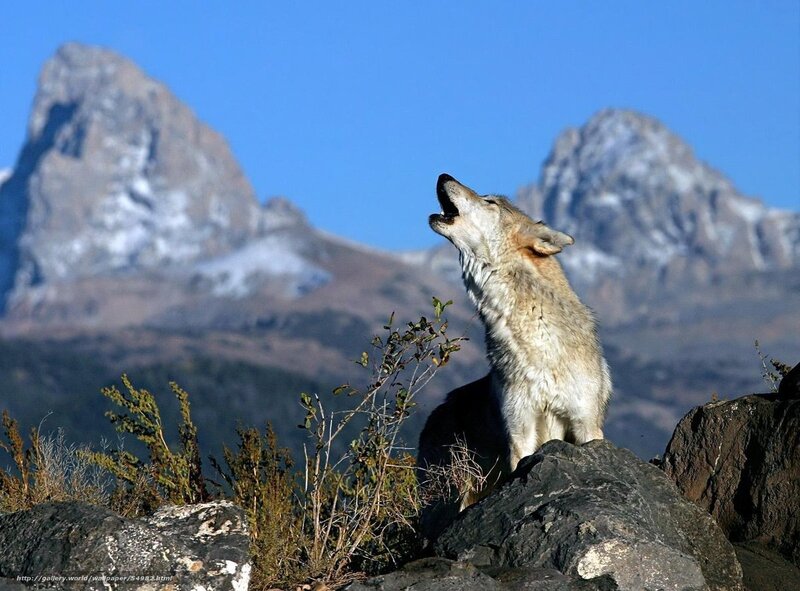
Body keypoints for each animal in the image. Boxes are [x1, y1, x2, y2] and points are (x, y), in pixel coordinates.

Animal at [417, 174, 611, 532]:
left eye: (489, 201)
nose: (443, 176)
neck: (538, 345)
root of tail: (434, 415)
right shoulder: (520, 430)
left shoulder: (586, 425)